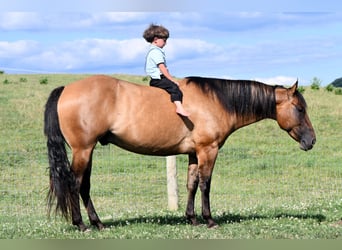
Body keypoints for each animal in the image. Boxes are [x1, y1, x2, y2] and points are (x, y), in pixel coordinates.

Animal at [44, 75, 316, 231]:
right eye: (300, 109)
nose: (312, 141)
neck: (216, 100)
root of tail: (66, 88)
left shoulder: (194, 153)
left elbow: (192, 184)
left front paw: (191, 218)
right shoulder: (208, 150)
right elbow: (206, 184)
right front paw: (209, 219)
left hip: (87, 151)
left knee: (84, 186)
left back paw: (98, 223)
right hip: (83, 150)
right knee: (75, 184)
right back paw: (81, 224)